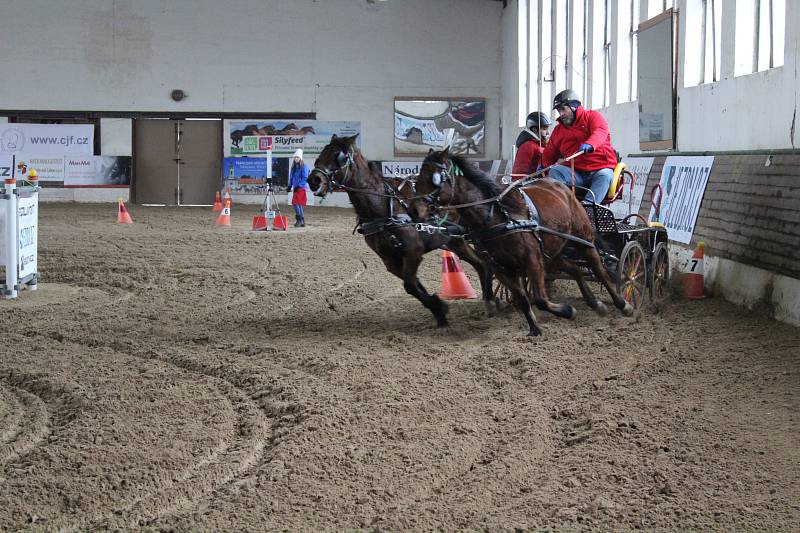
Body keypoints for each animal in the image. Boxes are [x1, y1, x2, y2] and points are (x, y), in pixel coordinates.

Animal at [306, 134, 494, 328]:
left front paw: (440, 309)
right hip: (454, 240)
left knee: (485, 260)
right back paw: (488, 300)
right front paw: (439, 311)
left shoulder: (413, 251)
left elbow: (410, 285)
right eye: (320, 155)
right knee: (481, 263)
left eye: (339, 157)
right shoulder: (390, 260)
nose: (314, 180)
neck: (383, 207)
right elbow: (414, 286)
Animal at [412, 148, 632, 334]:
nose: (414, 211)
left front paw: (568, 311)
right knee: (575, 268)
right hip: (552, 252)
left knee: (598, 268)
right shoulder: (501, 266)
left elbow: (540, 299)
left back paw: (623, 304)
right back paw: (595, 303)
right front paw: (534, 329)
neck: (498, 216)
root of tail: (563, 188)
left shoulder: (532, 259)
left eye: (435, 178)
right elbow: (522, 299)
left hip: (582, 239)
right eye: (417, 178)